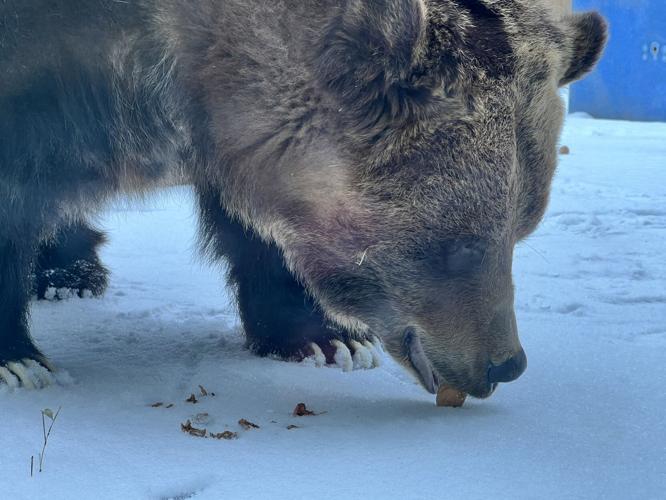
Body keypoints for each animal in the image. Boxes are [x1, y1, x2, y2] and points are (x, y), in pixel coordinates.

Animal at [0, 0, 606, 398]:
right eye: (460, 244)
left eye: (523, 227)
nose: (505, 364)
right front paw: (19, 361)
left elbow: (257, 227)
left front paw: (324, 339)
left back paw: (71, 272)